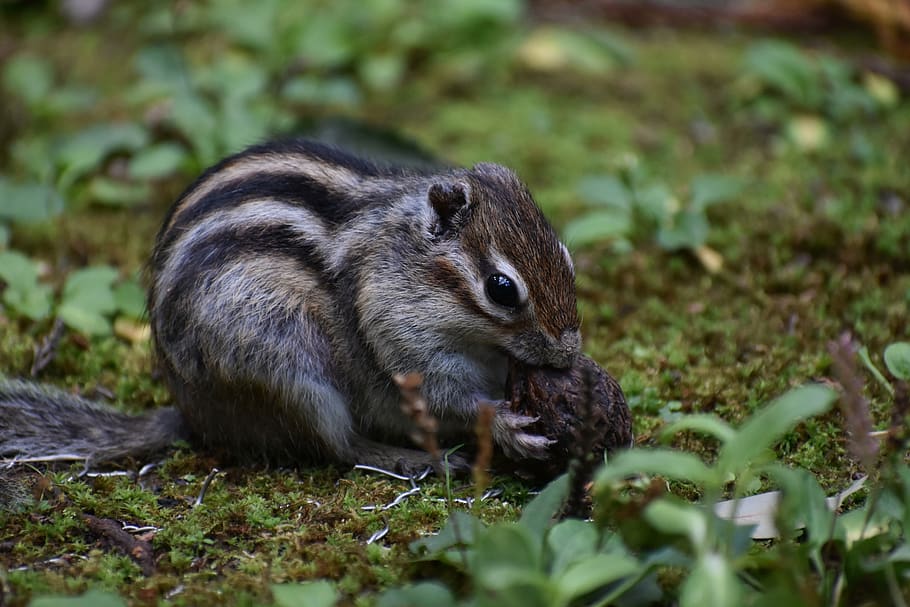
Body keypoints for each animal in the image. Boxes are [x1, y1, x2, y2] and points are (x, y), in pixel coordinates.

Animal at [0, 139, 580, 475]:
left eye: (568, 259)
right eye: (501, 289)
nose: (569, 354)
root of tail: (195, 414)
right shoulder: (402, 344)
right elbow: (449, 399)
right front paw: (506, 426)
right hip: (290, 373)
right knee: (338, 447)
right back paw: (412, 458)